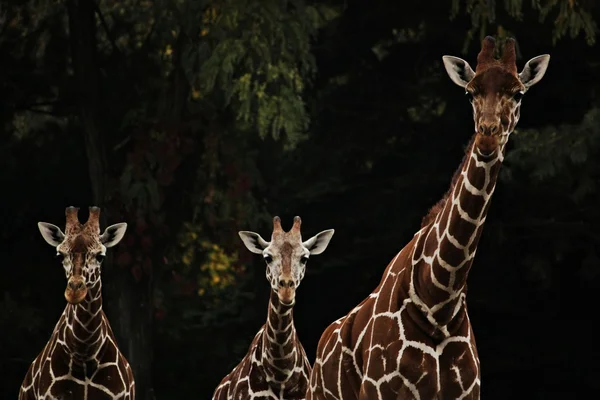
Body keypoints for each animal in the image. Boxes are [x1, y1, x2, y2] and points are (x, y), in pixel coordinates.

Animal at [308, 36, 552, 398]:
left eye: (518, 92)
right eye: (470, 92)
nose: (488, 133)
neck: (438, 301)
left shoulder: (467, 392)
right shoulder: (380, 390)